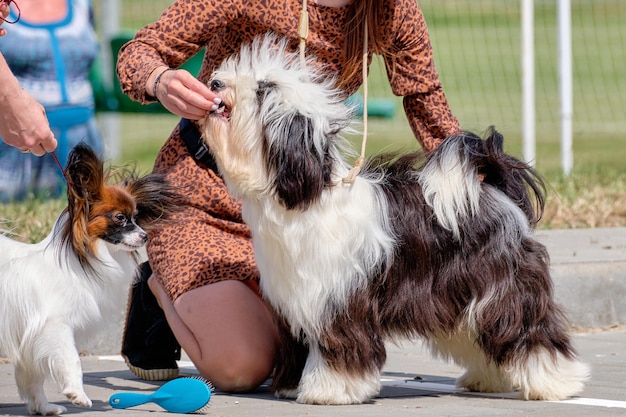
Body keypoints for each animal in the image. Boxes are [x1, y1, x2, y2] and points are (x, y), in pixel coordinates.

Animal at [0, 143, 178, 412]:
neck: (83, 260)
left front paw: (44, 408)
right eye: (120, 218)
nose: (145, 236)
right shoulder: (54, 327)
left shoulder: (31, 340)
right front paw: (77, 394)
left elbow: (34, 378)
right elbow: (72, 360)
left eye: (136, 217)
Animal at [202, 35, 588, 404]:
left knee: (530, 332)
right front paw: (291, 386)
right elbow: (299, 346)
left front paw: (331, 391)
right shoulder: (293, 303)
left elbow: (341, 347)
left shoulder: (340, 301)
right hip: (459, 296)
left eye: (262, 89)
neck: (307, 198)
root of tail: (494, 190)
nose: (215, 82)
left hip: (504, 288)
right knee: (479, 335)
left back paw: (556, 383)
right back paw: (489, 380)